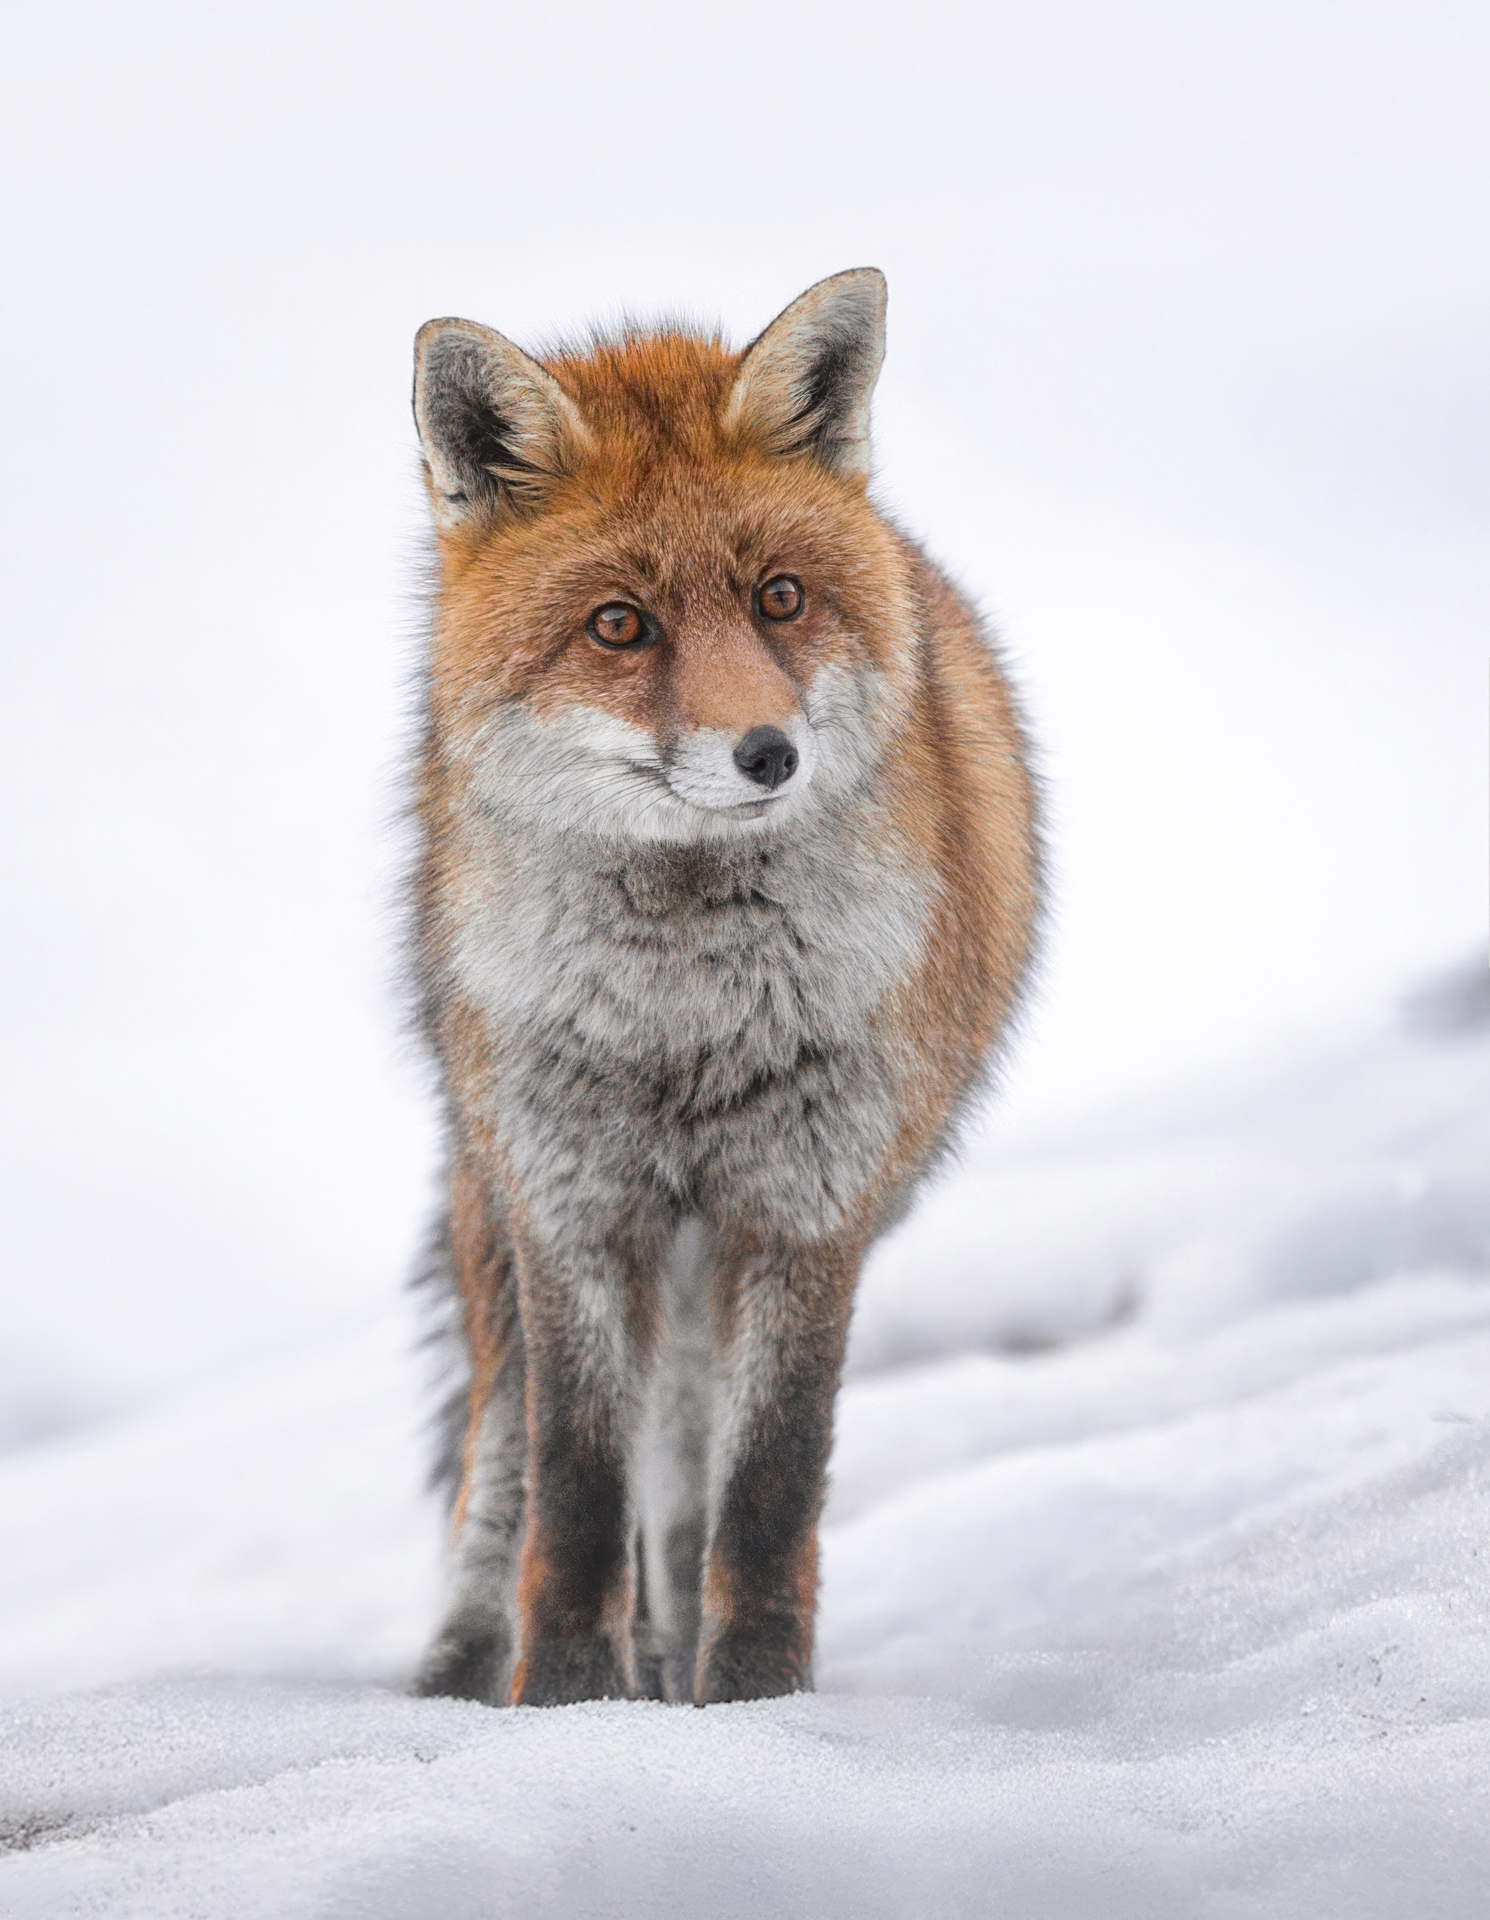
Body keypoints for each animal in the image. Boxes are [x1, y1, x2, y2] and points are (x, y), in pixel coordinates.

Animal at [407, 268, 1042, 1709]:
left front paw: (750, 1700)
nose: (767, 753)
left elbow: (763, 1489)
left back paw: (671, 1655)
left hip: (711, 1258)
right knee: (502, 1457)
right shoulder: (571, 1205)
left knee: (686, 1466)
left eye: (780, 597)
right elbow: (579, 1485)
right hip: (502, 1201)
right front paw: (565, 1702)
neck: (682, 1020)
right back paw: (474, 1661)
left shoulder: (808, 1207)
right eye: (618, 625)